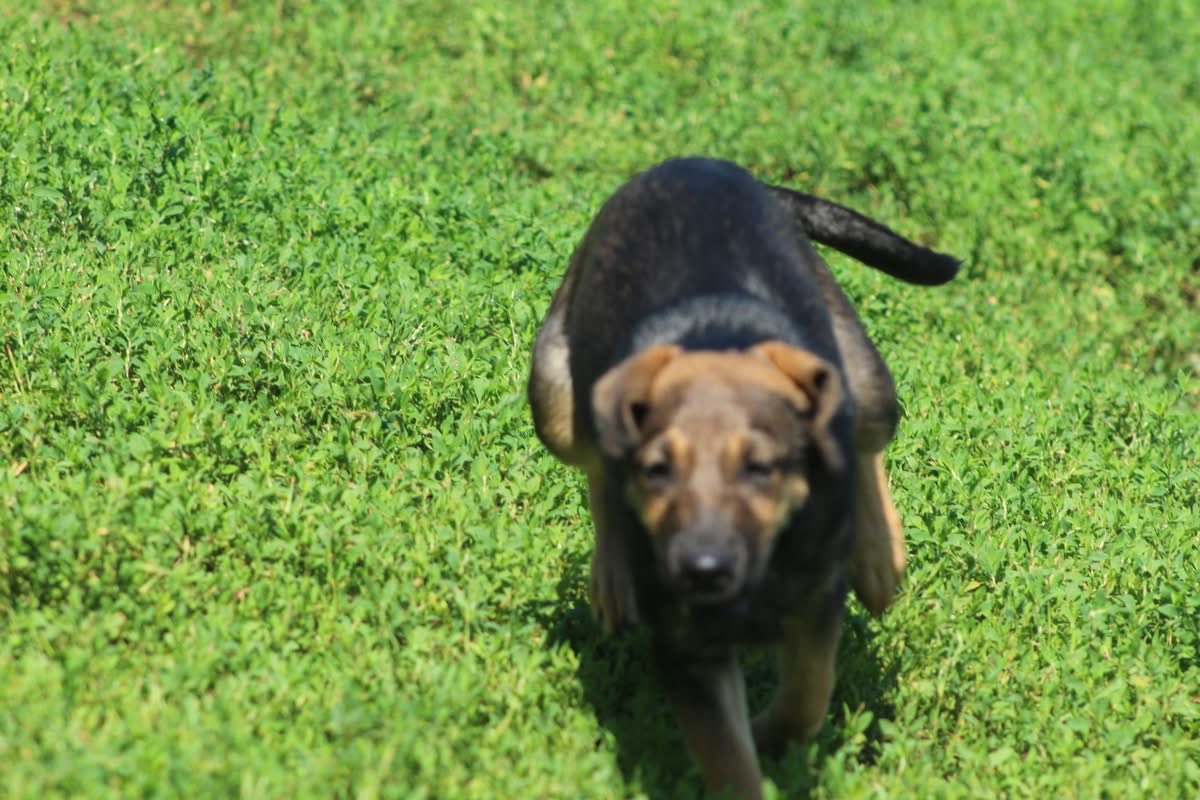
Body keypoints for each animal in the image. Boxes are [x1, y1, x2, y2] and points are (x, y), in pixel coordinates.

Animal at [527, 157, 959, 798]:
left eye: (760, 469)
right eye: (657, 471)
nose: (703, 569)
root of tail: (698, 162)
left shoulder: (815, 603)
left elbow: (807, 694)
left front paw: (773, 736)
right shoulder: (689, 647)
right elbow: (729, 758)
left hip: (860, 369)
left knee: (865, 437)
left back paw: (879, 559)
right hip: (554, 393)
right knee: (592, 465)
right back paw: (611, 576)